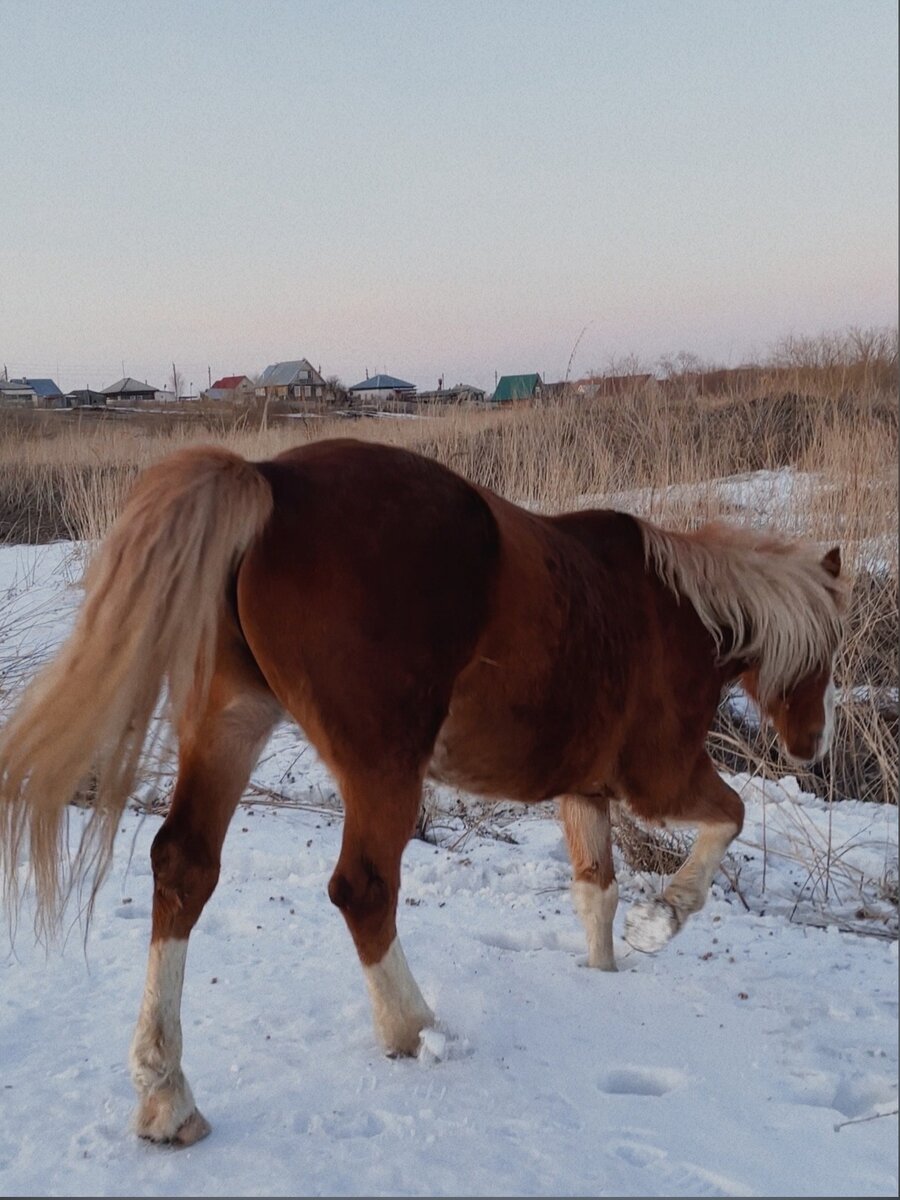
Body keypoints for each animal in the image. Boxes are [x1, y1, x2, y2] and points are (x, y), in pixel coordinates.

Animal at [0, 439, 844, 1142]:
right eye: (829, 647)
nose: (813, 746)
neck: (676, 614)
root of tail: (271, 479)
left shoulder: (586, 793)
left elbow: (594, 894)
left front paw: (606, 970)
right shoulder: (658, 778)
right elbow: (725, 820)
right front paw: (660, 920)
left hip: (231, 722)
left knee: (183, 867)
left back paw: (166, 1093)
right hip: (382, 767)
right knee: (362, 888)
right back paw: (410, 1028)